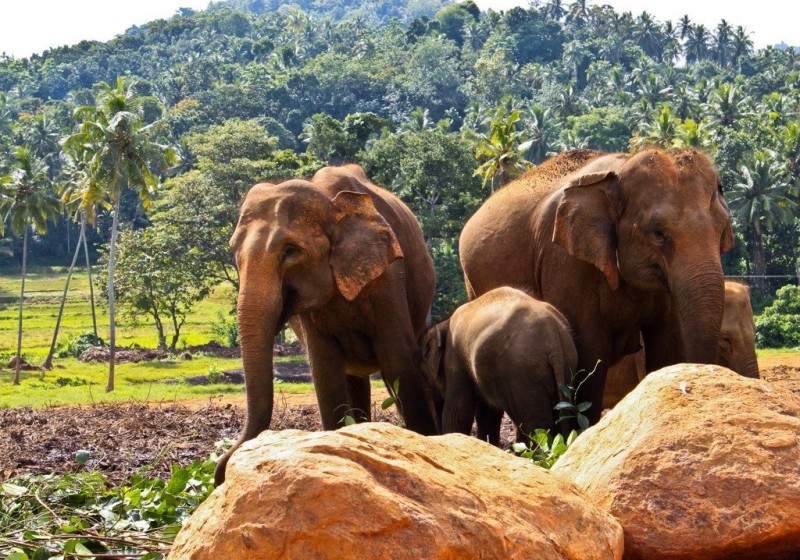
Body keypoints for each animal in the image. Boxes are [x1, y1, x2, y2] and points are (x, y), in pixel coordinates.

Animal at [212, 164, 438, 484]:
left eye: (290, 251)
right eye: (234, 252)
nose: (219, 474)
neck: (331, 203)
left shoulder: (389, 275)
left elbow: (400, 362)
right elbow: (326, 372)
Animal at [422, 286, 580, 444]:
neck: (444, 323)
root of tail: (553, 336)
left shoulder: (454, 356)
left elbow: (457, 412)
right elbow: (488, 413)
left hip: (522, 374)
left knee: (536, 425)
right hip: (565, 367)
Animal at [460, 149, 736, 424]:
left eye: (722, 229)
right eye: (658, 233)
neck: (621, 169)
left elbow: (666, 347)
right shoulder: (566, 261)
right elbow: (590, 352)